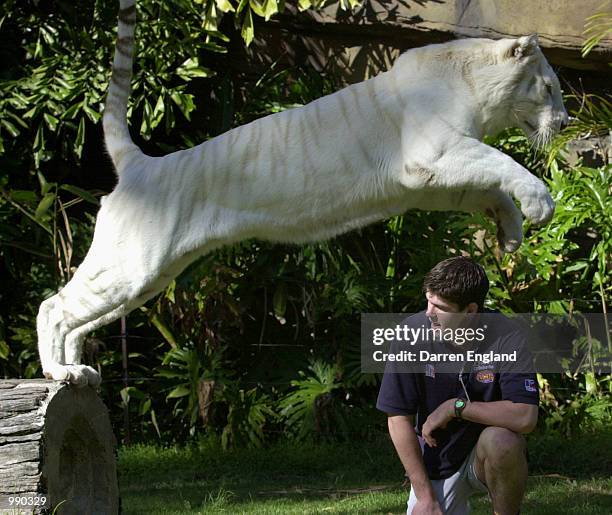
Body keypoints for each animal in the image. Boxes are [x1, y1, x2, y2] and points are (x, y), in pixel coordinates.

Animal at [35, 0, 568, 388]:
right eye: (549, 88)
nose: (565, 123)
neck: (476, 90)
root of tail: (139, 164)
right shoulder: (433, 153)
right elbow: (502, 163)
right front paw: (541, 204)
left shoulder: (429, 180)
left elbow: (487, 185)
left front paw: (511, 230)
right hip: (131, 265)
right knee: (54, 307)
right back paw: (58, 373)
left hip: (147, 277)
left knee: (79, 317)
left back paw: (77, 373)